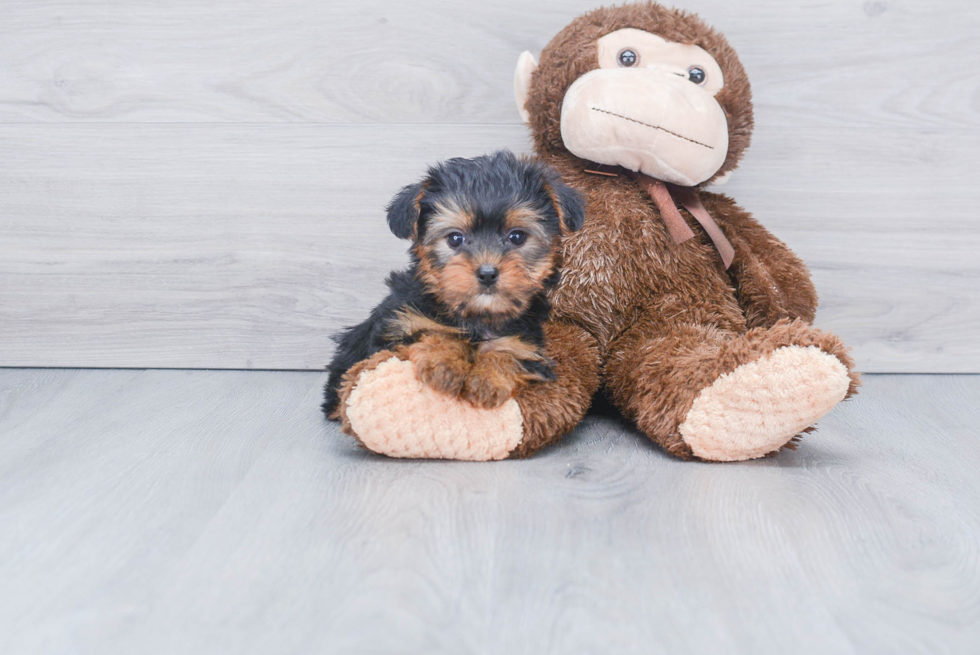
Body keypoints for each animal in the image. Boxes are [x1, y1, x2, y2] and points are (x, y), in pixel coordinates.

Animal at [322, 151, 580, 418]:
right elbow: (433, 331)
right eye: (455, 239)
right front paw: (444, 364)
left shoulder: (529, 347)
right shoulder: (396, 329)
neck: (477, 317)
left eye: (517, 237)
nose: (487, 273)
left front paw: (488, 379)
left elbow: (511, 352)